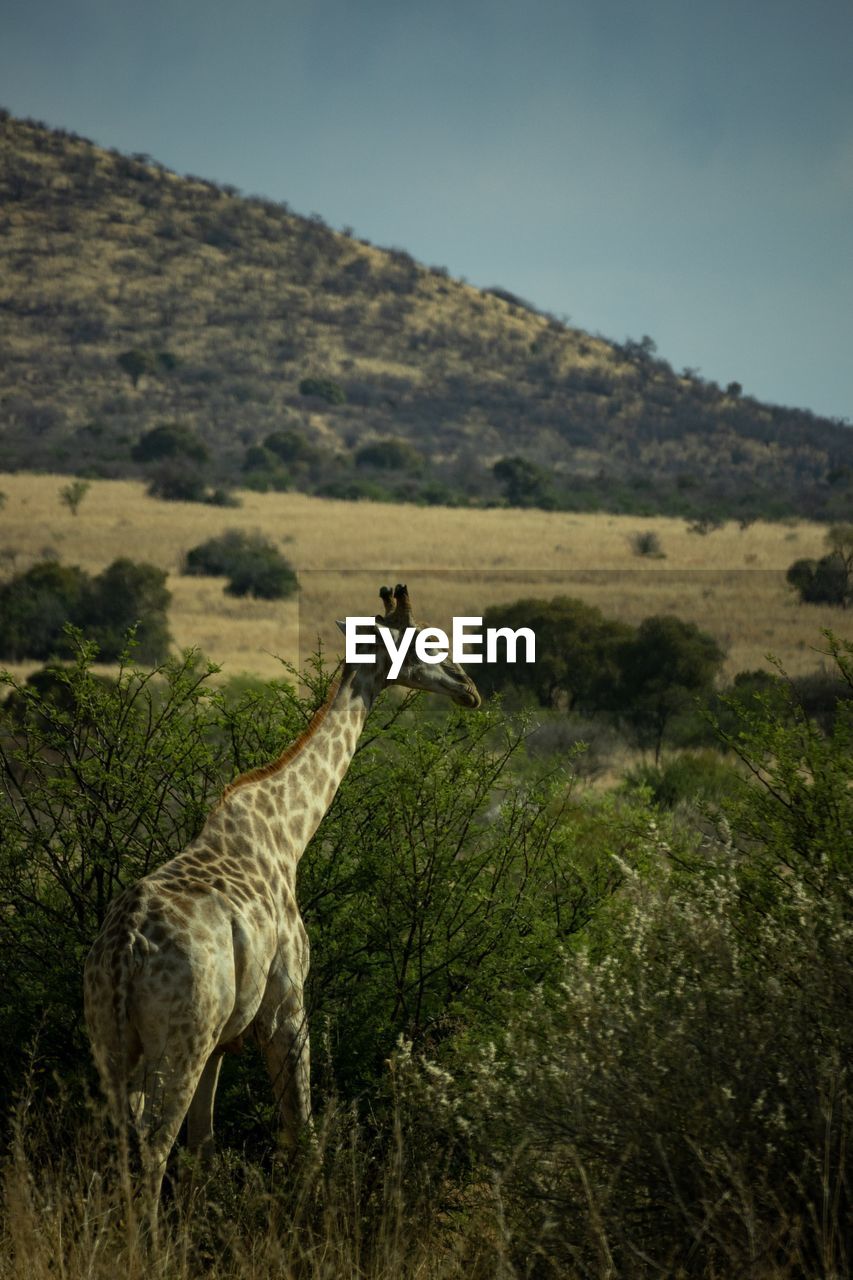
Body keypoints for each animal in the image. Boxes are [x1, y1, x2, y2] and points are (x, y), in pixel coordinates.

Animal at [83, 586, 481, 1213]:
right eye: (423, 642)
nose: (469, 687)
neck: (289, 834)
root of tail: (124, 952)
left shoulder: (224, 1040)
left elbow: (205, 1151)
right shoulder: (287, 1006)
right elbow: (303, 1135)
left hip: (111, 1036)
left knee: (117, 1144)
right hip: (180, 1039)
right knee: (151, 1148)